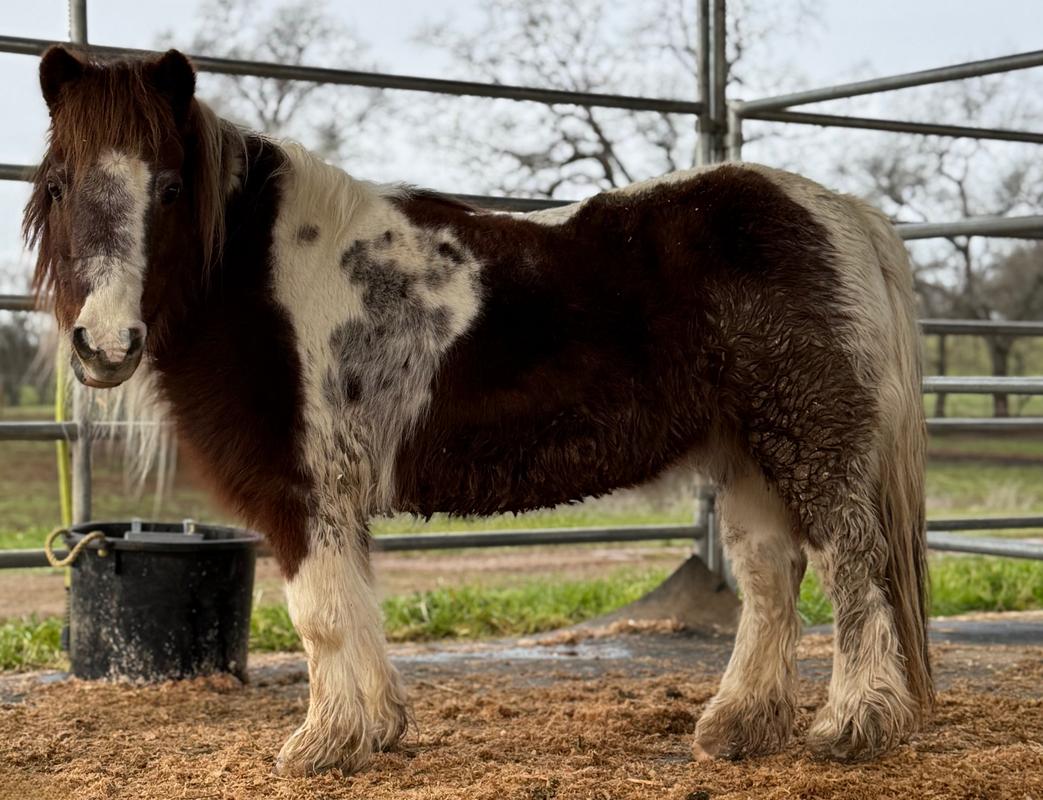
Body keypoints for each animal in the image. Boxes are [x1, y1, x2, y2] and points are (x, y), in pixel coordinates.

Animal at [25, 45, 932, 775]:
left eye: (171, 188)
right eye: (61, 186)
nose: (105, 345)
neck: (258, 279)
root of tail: (842, 214)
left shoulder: (303, 488)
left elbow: (320, 614)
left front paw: (323, 744)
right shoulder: (331, 495)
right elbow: (353, 603)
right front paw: (374, 728)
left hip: (809, 441)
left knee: (852, 566)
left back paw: (852, 726)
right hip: (746, 453)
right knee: (771, 576)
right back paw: (739, 726)